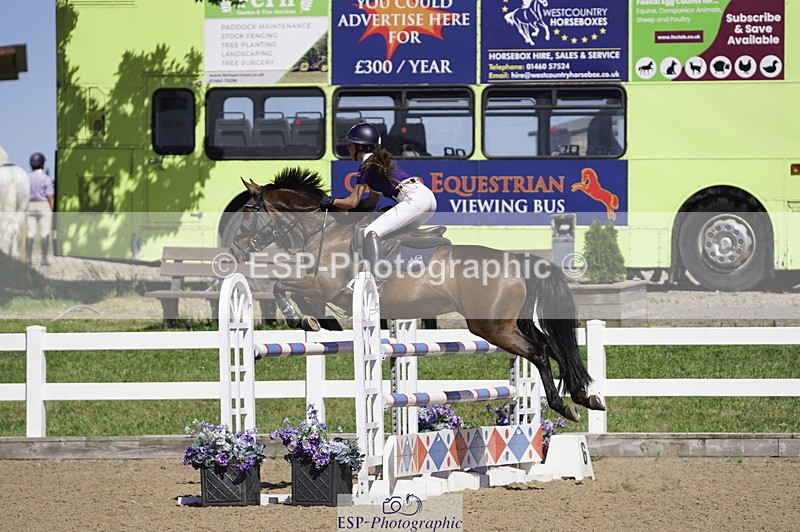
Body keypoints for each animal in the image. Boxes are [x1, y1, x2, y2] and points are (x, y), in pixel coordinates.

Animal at [230, 167, 606, 423]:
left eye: (247, 211)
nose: (235, 247)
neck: (320, 230)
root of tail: (518, 260)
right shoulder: (321, 288)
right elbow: (294, 292)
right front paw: (324, 322)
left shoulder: (324, 285)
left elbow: (281, 286)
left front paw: (302, 319)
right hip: (514, 321)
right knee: (553, 346)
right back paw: (585, 398)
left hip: (491, 326)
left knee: (539, 351)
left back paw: (564, 405)